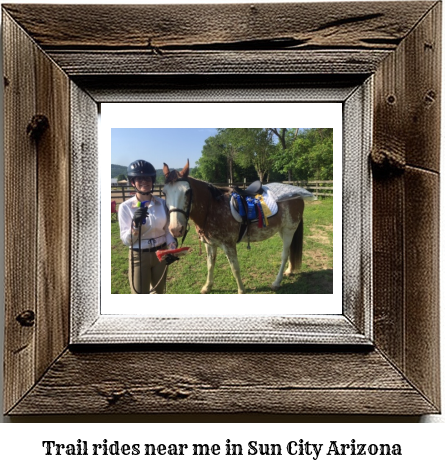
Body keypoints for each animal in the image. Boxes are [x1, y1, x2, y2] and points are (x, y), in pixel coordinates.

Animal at [162, 158, 308, 292]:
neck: (212, 207)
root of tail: (297, 194)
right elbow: (210, 265)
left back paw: (277, 282)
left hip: (289, 230)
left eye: (187, 191)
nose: (175, 229)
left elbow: (235, 268)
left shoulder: (229, 245)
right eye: (164, 192)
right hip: (282, 230)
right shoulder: (210, 244)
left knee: (284, 254)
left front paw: (241, 290)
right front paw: (207, 287)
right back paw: (289, 270)